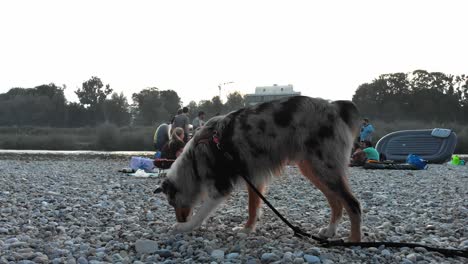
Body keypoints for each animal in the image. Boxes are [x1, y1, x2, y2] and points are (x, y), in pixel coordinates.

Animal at [155, 96, 364, 242]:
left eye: (172, 203)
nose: (181, 219)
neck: (193, 161)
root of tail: (335, 106)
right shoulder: (253, 178)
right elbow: (252, 208)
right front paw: (247, 229)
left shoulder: (221, 187)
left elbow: (201, 213)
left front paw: (184, 227)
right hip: (312, 169)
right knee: (337, 202)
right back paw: (330, 231)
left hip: (323, 166)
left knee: (353, 204)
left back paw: (353, 240)